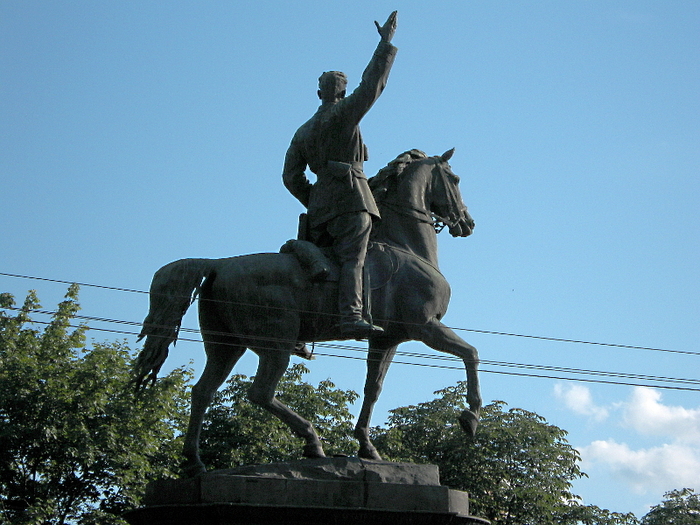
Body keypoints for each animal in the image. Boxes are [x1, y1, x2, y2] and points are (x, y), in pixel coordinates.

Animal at [133, 147, 478, 474]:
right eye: (455, 179)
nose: (467, 222)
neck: (404, 246)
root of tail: (219, 265)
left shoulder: (386, 339)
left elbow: (372, 389)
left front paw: (367, 447)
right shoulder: (425, 326)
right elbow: (470, 353)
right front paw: (470, 417)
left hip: (226, 346)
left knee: (202, 392)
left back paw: (195, 463)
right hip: (276, 344)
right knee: (260, 393)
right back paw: (313, 442)